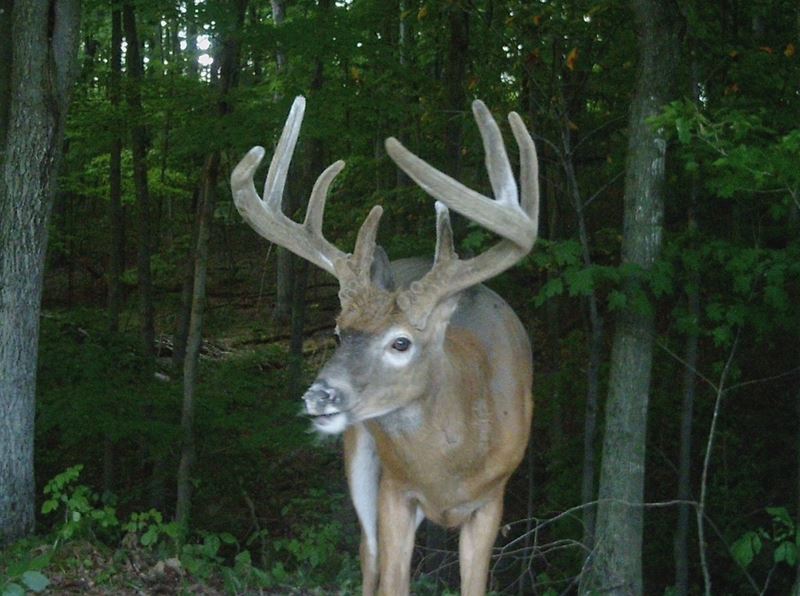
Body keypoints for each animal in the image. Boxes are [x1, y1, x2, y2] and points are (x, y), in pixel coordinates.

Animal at [230, 96, 538, 596]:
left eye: (400, 343)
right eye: (338, 331)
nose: (319, 396)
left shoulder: (492, 498)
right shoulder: (395, 489)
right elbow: (392, 579)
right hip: (359, 452)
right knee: (368, 556)